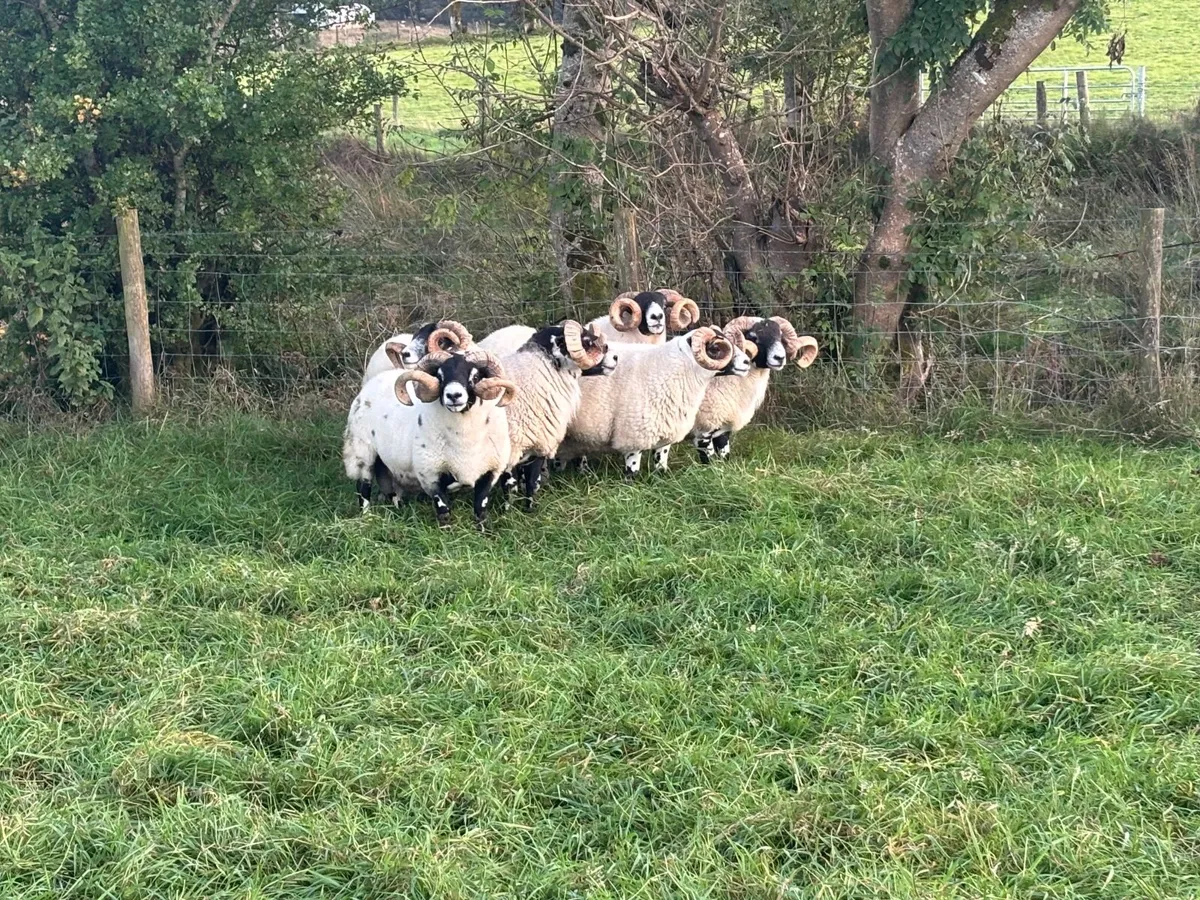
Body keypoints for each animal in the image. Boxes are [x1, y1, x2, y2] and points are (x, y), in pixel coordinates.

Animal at [343, 349, 518, 529]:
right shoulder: (430, 474)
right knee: (363, 487)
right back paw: (366, 518)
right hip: (361, 451)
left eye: (475, 377)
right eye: (440, 376)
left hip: (385, 462)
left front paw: (483, 530)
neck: (465, 442)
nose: (453, 395)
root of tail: (376, 379)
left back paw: (400, 510)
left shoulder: (491, 471)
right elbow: (443, 510)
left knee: (390, 487)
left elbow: (480, 507)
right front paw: (446, 531)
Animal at [477, 320, 612, 510]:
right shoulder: (517, 445)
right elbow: (516, 482)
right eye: (586, 341)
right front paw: (516, 510)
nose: (614, 357)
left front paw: (524, 508)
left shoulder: (535, 441)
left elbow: (528, 480)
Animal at [557, 326, 751, 479]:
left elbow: (660, 463)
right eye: (716, 348)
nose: (747, 362)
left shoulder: (664, 428)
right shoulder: (634, 433)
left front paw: (660, 479)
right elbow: (632, 470)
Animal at [689, 316, 819, 463]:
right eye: (753, 337)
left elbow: (724, 455)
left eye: (780, 336)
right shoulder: (703, 430)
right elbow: (708, 461)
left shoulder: (722, 428)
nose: (779, 358)